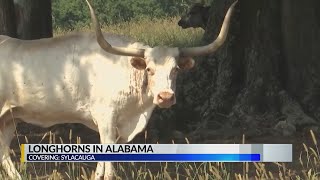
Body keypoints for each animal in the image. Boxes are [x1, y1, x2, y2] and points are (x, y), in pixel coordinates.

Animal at [0, 0, 236, 179]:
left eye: (176, 69)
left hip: (9, 118)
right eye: (149, 69)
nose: (166, 97)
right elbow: (108, 165)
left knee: (3, 151)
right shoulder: (106, 119)